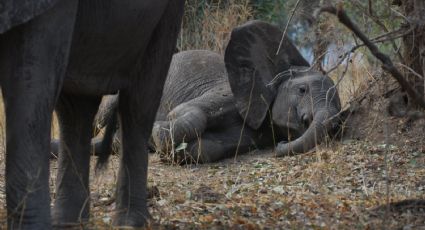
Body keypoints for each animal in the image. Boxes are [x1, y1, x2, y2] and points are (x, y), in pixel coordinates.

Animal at [1, 0, 184, 229]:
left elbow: (31, 82)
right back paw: (68, 221)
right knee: (74, 107)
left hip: (169, 12)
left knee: (139, 103)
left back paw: (130, 222)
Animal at [53, 19, 340, 164]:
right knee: (99, 117)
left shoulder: (256, 132)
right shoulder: (227, 93)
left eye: (339, 114)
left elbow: (205, 149)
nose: (281, 146)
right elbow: (188, 112)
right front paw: (158, 130)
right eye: (302, 89)